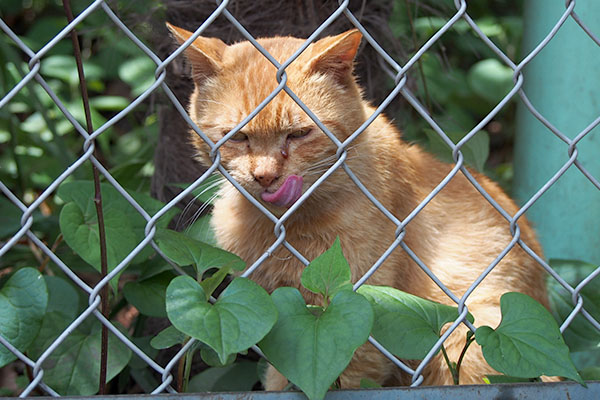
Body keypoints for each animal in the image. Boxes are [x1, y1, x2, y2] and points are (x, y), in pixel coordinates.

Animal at [168, 24, 548, 388]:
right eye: (238, 137)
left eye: (298, 134)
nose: (265, 177)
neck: (284, 226)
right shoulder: (279, 317)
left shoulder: (354, 318)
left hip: (470, 335)